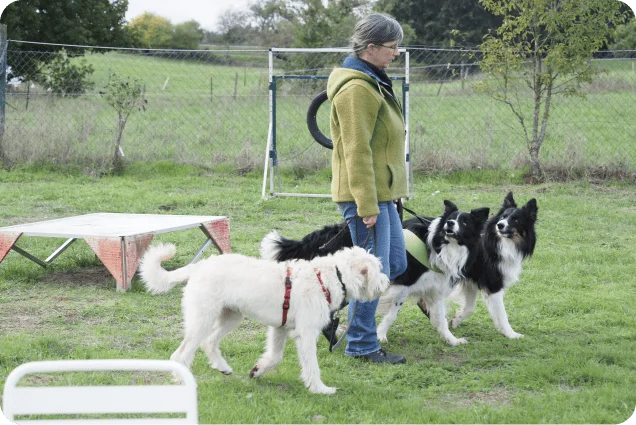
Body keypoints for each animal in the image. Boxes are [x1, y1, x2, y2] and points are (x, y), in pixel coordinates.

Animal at [139, 243, 388, 392]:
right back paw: (184, 382)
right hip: (202, 320)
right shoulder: (306, 334)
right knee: (180, 355)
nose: (386, 283)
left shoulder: (280, 329)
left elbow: (275, 357)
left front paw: (257, 370)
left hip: (230, 317)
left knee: (209, 343)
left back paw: (223, 368)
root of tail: (200, 266)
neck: (332, 276)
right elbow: (312, 365)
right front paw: (320, 389)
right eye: (377, 269)